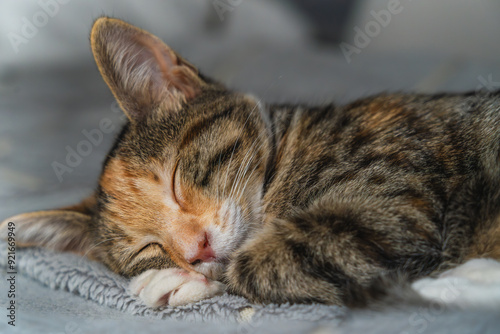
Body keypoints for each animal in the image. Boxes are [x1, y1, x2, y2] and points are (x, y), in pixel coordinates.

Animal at [0, 17, 500, 306]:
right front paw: (178, 274)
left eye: (176, 180)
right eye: (148, 248)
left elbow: (256, 263)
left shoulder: (396, 200)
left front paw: (181, 281)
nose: (196, 250)